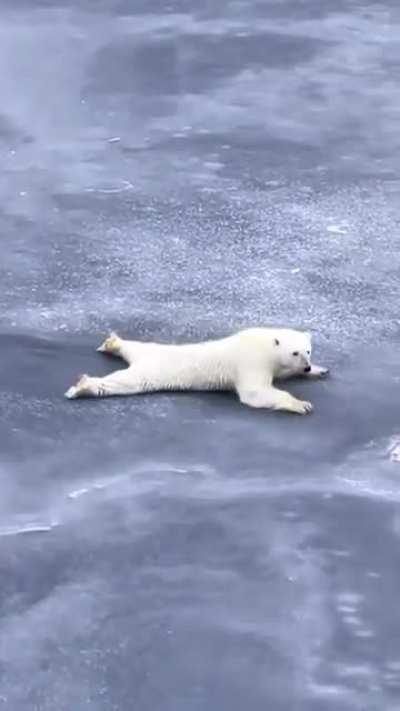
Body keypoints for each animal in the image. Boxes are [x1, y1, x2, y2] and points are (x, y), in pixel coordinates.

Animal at [64, 328, 329, 415]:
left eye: (308, 351)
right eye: (295, 352)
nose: (306, 365)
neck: (264, 343)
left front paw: (320, 370)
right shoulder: (251, 361)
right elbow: (255, 393)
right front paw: (301, 404)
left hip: (150, 350)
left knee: (135, 346)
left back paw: (114, 343)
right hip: (153, 370)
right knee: (125, 382)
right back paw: (83, 386)